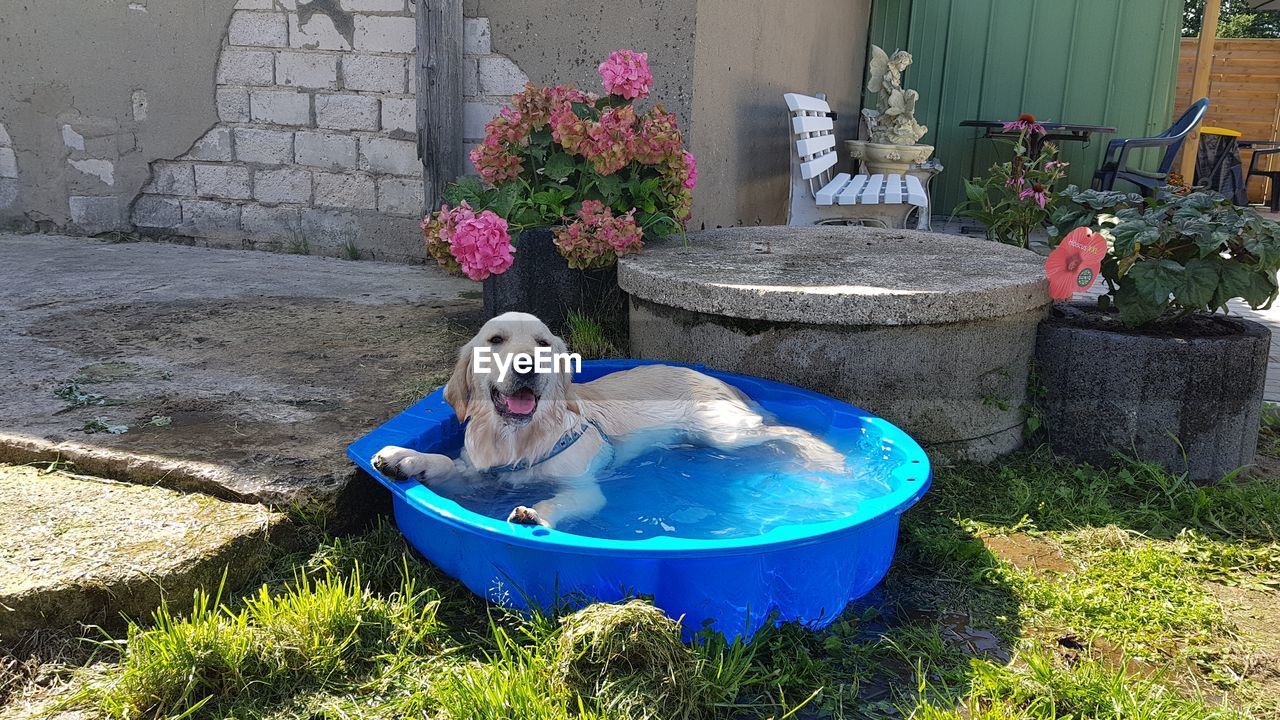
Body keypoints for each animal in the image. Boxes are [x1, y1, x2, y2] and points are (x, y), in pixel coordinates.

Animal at [373, 311, 849, 525]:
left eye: (543, 343)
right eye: (495, 339)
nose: (528, 365)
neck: (518, 437)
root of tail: (716, 379)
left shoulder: (584, 489)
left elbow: (559, 501)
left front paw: (535, 514)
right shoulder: (477, 473)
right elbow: (443, 465)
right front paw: (404, 458)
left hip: (723, 431)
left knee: (787, 431)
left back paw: (825, 455)